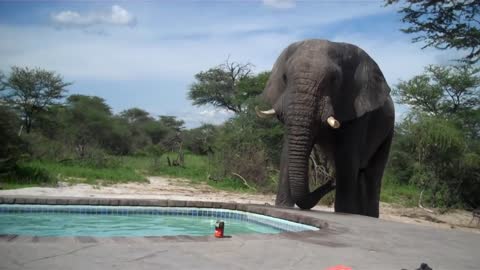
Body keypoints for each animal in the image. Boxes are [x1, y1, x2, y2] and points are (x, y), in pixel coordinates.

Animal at [256, 39, 396, 217]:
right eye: (285, 77)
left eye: (334, 80)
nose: (332, 181)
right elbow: (288, 149)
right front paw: (283, 207)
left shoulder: (358, 110)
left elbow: (347, 155)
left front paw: (344, 213)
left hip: (388, 132)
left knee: (372, 176)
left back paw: (367, 216)